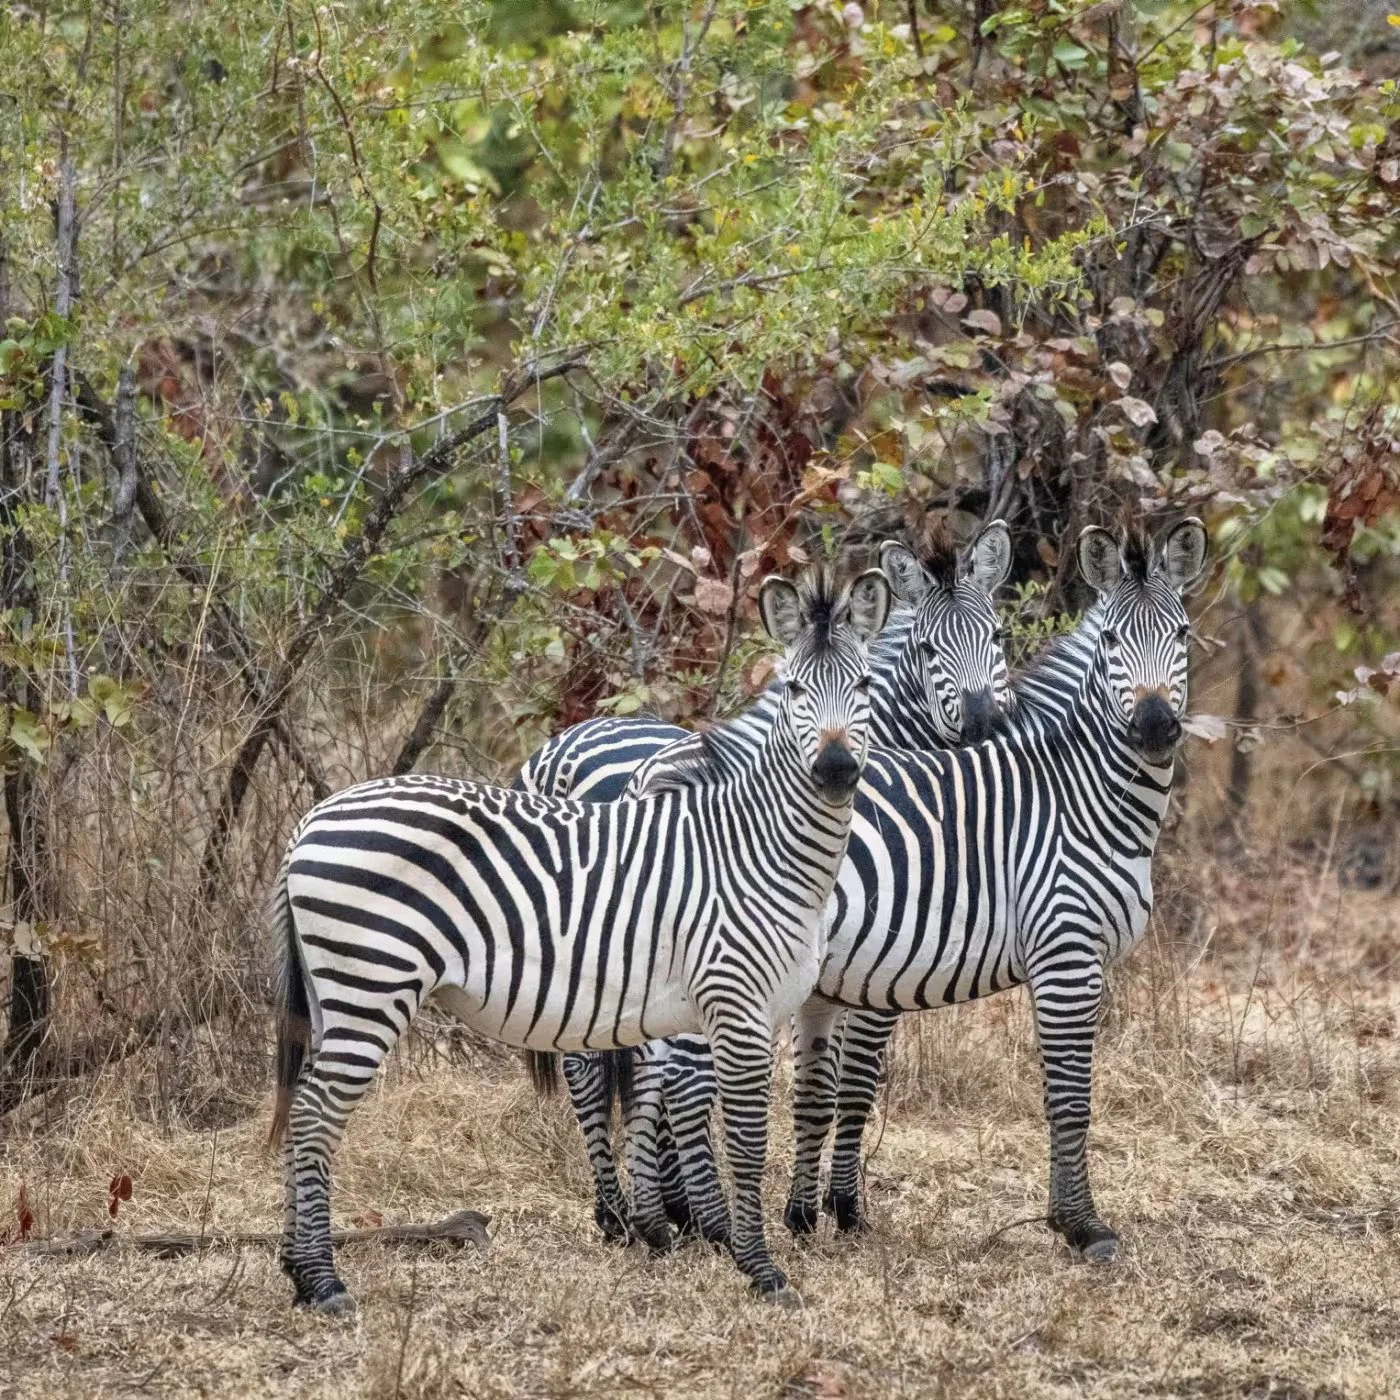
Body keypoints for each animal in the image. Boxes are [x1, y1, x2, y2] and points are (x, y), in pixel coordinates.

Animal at [269, 565, 892, 1312]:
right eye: (796, 689)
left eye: (864, 684)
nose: (835, 770)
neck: (760, 846)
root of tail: (309, 822)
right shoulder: (735, 1003)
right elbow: (743, 1139)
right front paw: (762, 1271)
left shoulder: (748, 1008)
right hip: (371, 984)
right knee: (313, 1115)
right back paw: (324, 1281)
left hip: (336, 990)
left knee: (301, 1108)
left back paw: (299, 1273)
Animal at [514, 521, 1015, 1245]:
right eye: (927, 649)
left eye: (997, 636)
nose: (981, 727)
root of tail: (560, 753)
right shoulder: (871, 979)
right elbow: (852, 1087)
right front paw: (840, 1209)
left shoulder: (818, 983)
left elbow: (814, 1090)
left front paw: (801, 1209)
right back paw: (652, 1215)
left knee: (605, 1065)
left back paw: (633, 1213)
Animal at [625, 517, 1207, 1260]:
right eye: (1110, 643)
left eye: (1183, 635)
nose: (1157, 728)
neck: (1079, 791)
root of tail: (664, 770)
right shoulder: (1063, 954)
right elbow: (1069, 1096)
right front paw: (1081, 1226)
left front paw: (811, 1214)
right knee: (683, 1086)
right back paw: (710, 1228)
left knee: (650, 1078)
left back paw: (655, 1223)